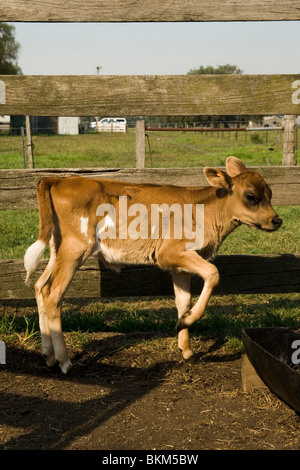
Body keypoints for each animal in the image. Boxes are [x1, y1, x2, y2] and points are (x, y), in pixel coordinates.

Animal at [24, 158, 282, 374]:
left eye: (270, 194)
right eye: (251, 196)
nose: (277, 220)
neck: (206, 212)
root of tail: (59, 180)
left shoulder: (180, 266)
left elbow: (183, 300)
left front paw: (185, 343)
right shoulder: (170, 253)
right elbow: (213, 273)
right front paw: (189, 319)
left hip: (58, 248)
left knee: (39, 286)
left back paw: (48, 355)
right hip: (76, 248)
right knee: (52, 294)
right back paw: (64, 362)